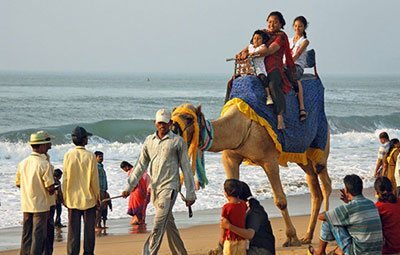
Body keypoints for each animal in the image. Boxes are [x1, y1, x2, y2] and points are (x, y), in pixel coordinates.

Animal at [172, 102, 332, 246]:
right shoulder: (230, 158)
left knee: (326, 183)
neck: (240, 128)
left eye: (188, 117)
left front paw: (292, 238)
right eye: (173, 114)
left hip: (321, 148)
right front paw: (222, 245)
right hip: (303, 158)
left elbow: (280, 200)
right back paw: (307, 237)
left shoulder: (269, 160)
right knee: (314, 186)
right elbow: (231, 196)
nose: (173, 128)